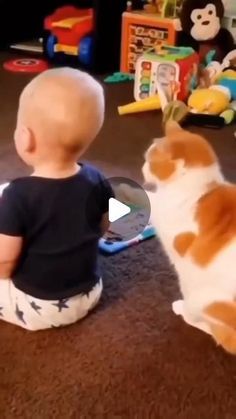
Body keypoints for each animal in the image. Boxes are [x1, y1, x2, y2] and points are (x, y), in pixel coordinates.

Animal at [140, 121, 236, 354]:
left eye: (149, 161)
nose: (141, 168)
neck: (202, 189)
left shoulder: (168, 222)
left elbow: (149, 198)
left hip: (201, 297)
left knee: (218, 335)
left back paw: (181, 308)